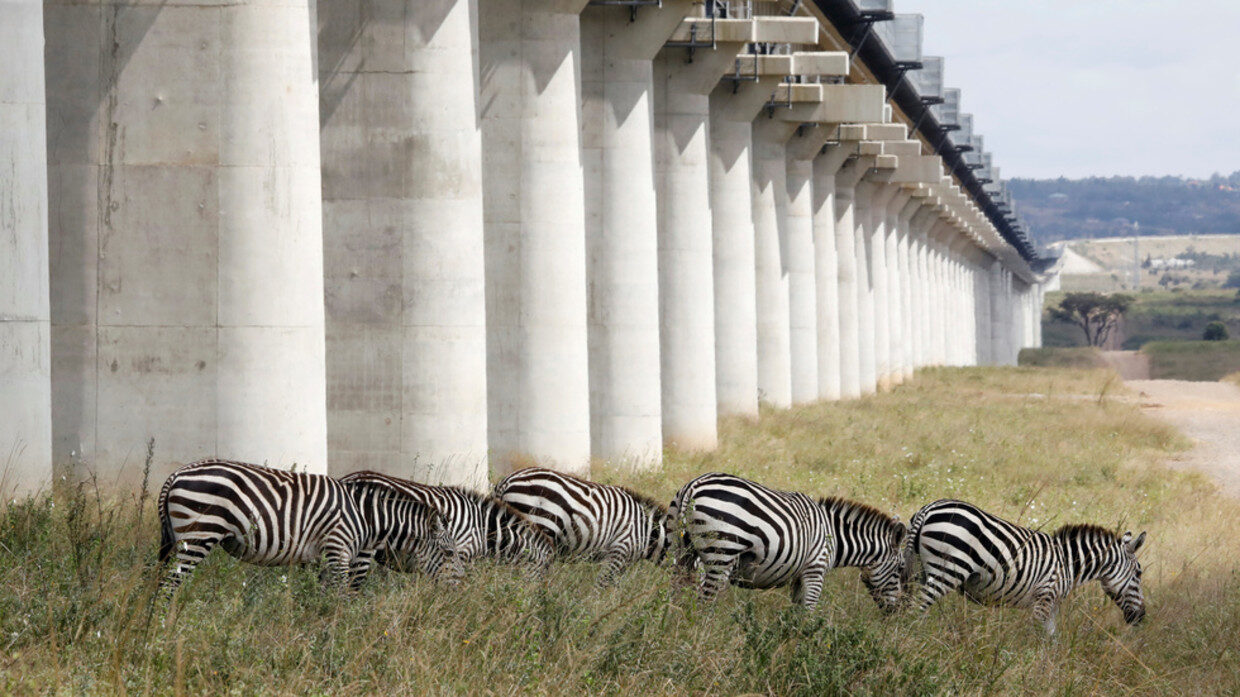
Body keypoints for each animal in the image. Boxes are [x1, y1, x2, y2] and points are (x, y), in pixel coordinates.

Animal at [157, 460, 457, 596]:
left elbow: (322, 595)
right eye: (450, 554)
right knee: (170, 586)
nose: (455, 594)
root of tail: (176, 473)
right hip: (198, 535)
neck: (366, 517)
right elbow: (340, 596)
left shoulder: (323, 557)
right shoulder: (337, 549)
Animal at [669, 473, 907, 610]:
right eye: (900, 569)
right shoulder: (815, 570)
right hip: (720, 554)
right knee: (705, 602)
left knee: (678, 597)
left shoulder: (799, 576)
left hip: (681, 552)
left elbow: (796, 611)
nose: (898, 611)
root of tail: (693, 485)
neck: (835, 537)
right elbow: (809, 611)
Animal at [902, 499, 1147, 634]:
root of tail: (929, 508)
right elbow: (1038, 638)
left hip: (919, 568)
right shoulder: (1044, 599)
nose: (1141, 618)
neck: (1069, 563)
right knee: (915, 609)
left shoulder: (1051, 605)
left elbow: (1052, 639)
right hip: (946, 570)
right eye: (1139, 574)